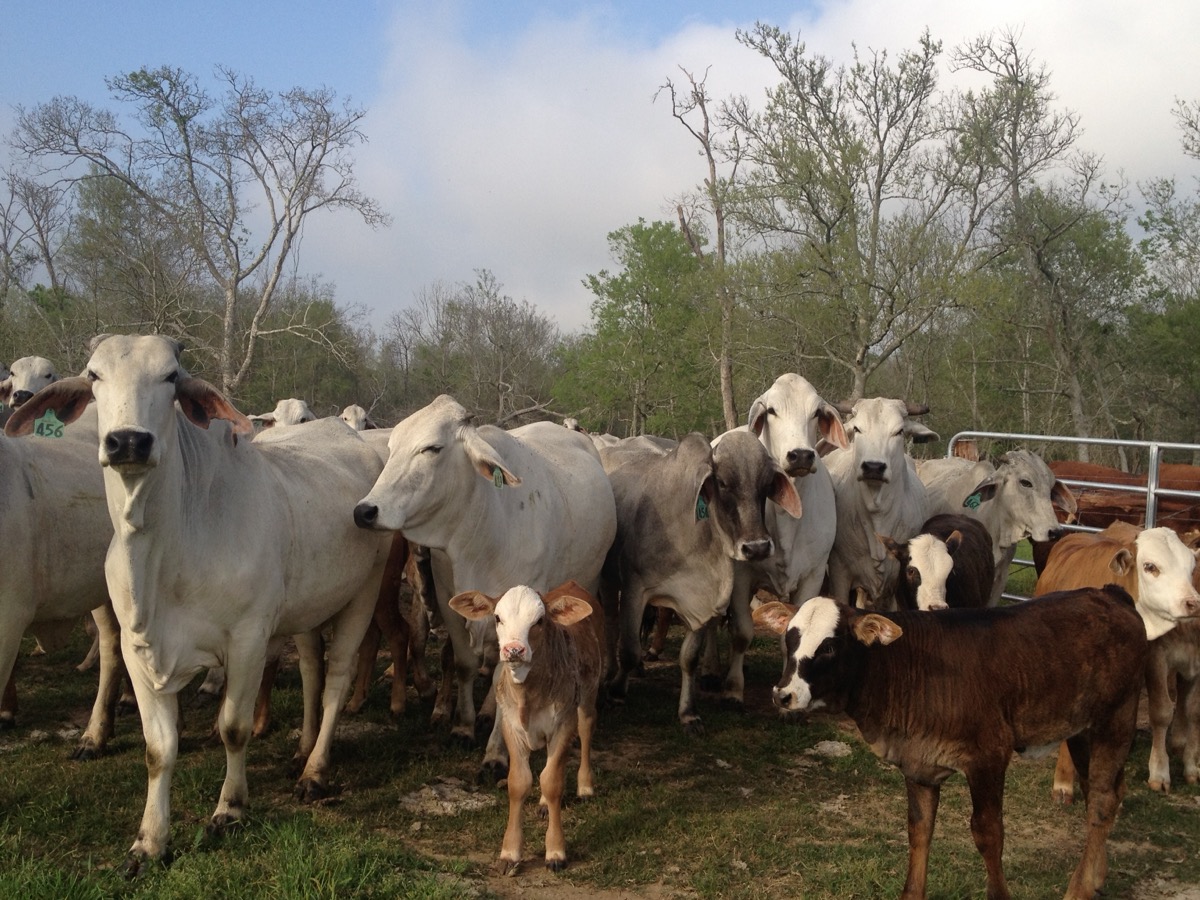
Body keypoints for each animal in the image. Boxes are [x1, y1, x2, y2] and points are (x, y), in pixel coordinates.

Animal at [6, 334, 392, 872]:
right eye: (94, 375)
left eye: (171, 376)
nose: (128, 441)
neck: (167, 550)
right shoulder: (138, 648)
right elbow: (158, 749)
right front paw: (150, 840)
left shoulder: (248, 639)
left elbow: (233, 727)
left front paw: (230, 809)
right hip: (306, 608)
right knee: (312, 669)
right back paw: (302, 748)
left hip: (365, 591)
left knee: (336, 677)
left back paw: (314, 770)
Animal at [352, 394, 617, 779]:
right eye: (392, 446)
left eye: (432, 448)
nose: (365, 511)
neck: (481, 529)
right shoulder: (451, 601)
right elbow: (465, 663)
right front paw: (463, 727)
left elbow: (502, 675)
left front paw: (496, 753)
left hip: (589, 579)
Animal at [449, 581, 604, 874]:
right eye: (498, 618)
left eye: (539, 621)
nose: (513, 649)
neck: (529, 695)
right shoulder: (511, 726)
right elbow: (520, 782)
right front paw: (510, 853)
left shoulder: (563, 722)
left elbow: (552, 781)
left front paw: (555, 851)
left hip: (589, 690)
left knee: (587, 727)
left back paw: (585, 786)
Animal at [601, 430, 801, 733]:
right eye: (722, 482)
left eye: (766, 485)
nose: (756, 548)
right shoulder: (635, 590)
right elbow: (629, 649)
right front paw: (615, 693)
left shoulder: (701, 602)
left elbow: (689, 658)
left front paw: (688, 713)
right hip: (609, 581)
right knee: (611, 625)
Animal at [753, 584, 1195, 900]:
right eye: (789, 639)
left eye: (829, 646)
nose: (783, 694)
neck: (903, 667)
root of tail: (1108, 593)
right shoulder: (919, 765)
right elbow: (919, 830)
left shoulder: (988, 757)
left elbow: (987, 833)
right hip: (1082, 730)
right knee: (1106, 793)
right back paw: (1096, 876)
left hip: (1114, 720)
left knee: (1102, 801)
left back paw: (1079, 889)